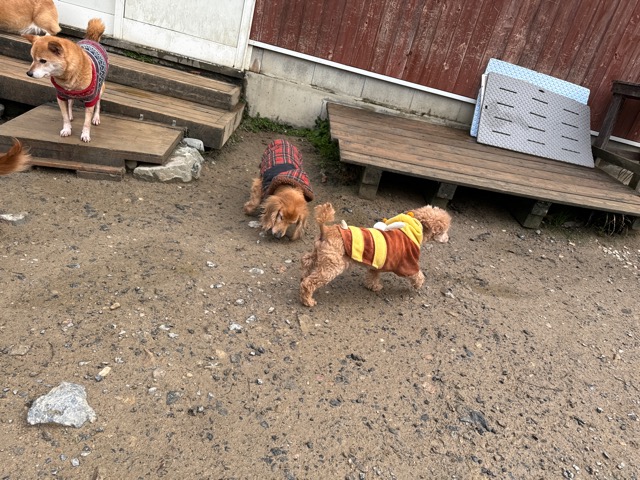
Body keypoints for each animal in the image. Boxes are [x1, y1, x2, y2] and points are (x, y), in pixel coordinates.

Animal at [300, 203, 451, 307]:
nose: (448, 239)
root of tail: (325, 229)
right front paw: (418, 285)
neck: (412, 227)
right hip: (333, 264)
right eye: (443, 231)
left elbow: (373, 275)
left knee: (306, 261)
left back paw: (303, 276)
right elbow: (417, 275)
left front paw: (373, 286)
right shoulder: (408, 263)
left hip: (319, 254)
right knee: (309, 283)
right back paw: (308, 300)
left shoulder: (377, 261)